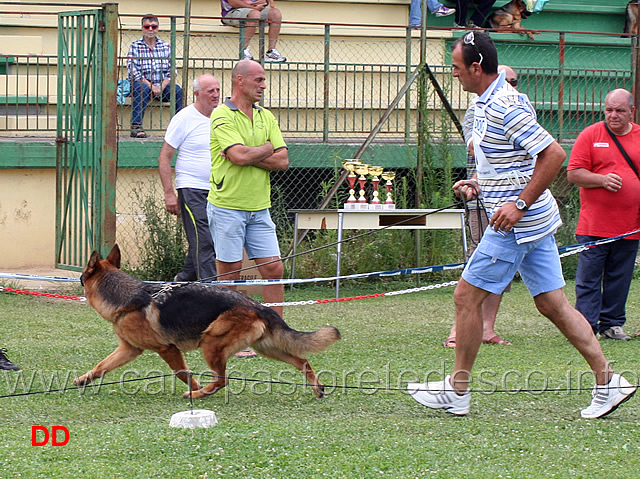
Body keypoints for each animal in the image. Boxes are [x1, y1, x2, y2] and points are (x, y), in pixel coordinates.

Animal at [75, 246, 342, 400]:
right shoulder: (129, 349)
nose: (79, 281)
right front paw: (83, 380)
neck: (126, 298)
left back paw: (200, 393)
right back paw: (317, 388)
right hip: (269, 348)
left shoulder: (166, 349)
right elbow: (102, 366)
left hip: (211, 344)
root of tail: (258, 306)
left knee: (222, 380)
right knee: (302, 361)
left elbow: (183, 373)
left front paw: (194, 388)